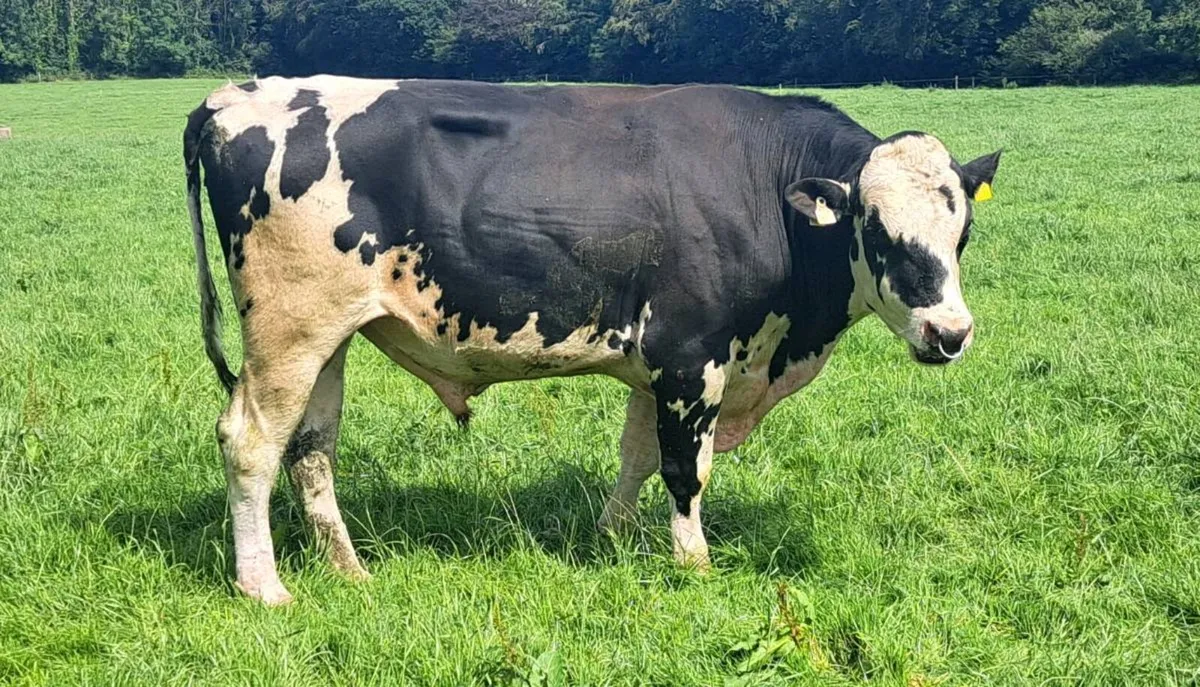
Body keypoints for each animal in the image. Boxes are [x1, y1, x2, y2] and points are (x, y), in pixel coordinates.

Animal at [184, 76, 1000, 604]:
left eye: (961, 230)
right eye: (878, 231)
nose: (950, 333)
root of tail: (232, 97)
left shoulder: (657, 364)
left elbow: (636, 455)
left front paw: (611, 540)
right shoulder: (691, 356)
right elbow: (684, 470)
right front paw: (693, 564)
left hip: (329, 335)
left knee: (310, 448)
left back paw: (348, 570)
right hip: (287, 328)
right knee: (250, 441)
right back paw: (264, 586)